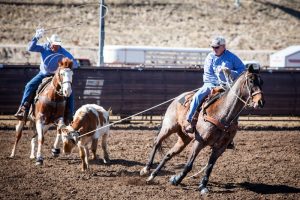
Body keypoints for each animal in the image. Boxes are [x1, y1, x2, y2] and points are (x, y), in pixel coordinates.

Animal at [141, 65, 264, 194]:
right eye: (251, 81)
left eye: (262, 82)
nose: (260, 102)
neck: (223, 114)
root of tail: (177, 98)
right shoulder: (199, 141)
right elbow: (189, 165)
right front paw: (176, 179)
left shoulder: (220, 148)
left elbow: (209, 166)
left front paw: (202, 186)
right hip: (169, 127)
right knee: (156, 142)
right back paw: (146, 169)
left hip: (184, 139)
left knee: (168, 154)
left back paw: (153, 175)